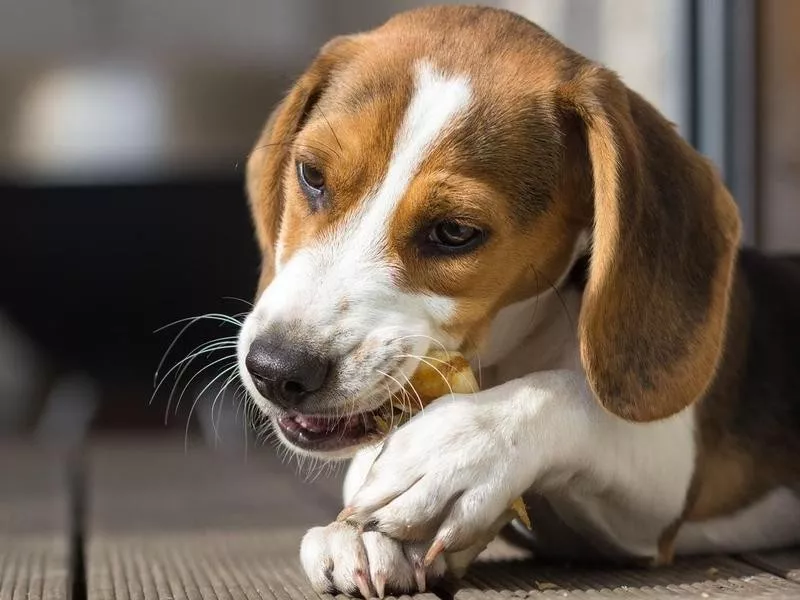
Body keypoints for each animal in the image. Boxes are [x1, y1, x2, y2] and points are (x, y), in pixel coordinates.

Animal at [236, 3, 800, 596]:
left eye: (455, 231)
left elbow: (570, 396)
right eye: (311, 175)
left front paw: (452, 451)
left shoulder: (662, 487)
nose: (276, 369)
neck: (509, 349)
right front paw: (362, 534)